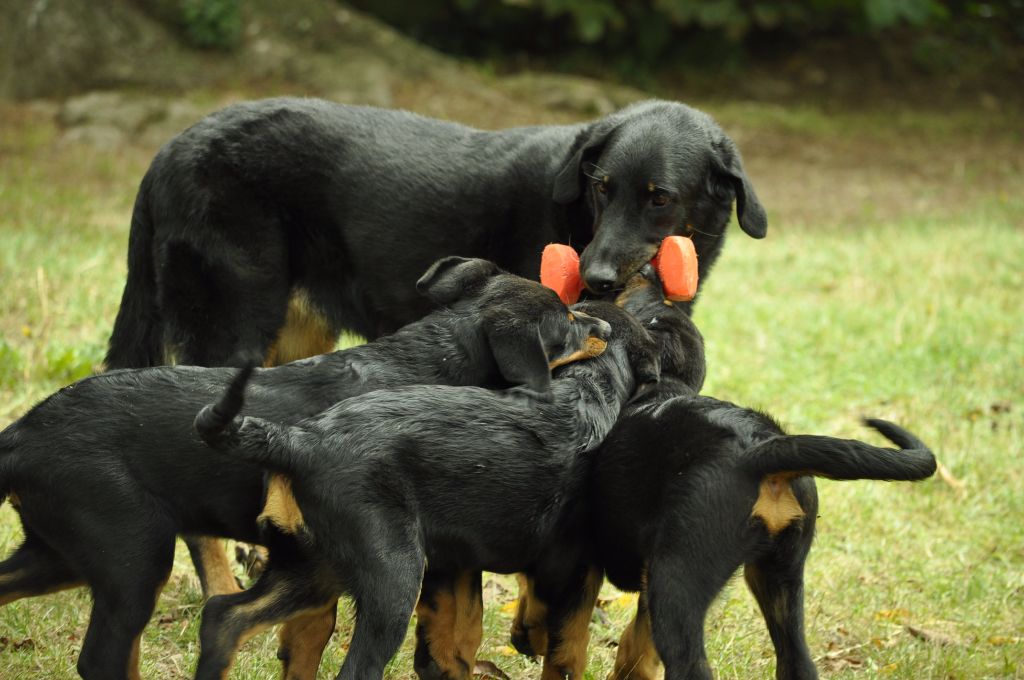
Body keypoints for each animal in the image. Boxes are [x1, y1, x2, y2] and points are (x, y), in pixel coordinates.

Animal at [0, 258, 606, 680]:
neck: (434, 359)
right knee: (105, 659)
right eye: (568, 320)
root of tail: (20, 437)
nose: (603, 318)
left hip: (60, 554)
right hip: (134, 557)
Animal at [190, 301, 655, 680]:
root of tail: (298, 441)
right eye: (571, 319)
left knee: (225, 617)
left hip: (312, 565)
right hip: (393, 572)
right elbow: (559, 634)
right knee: (356, 668)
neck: (586, 387)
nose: (605, 328)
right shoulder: (570, 557)